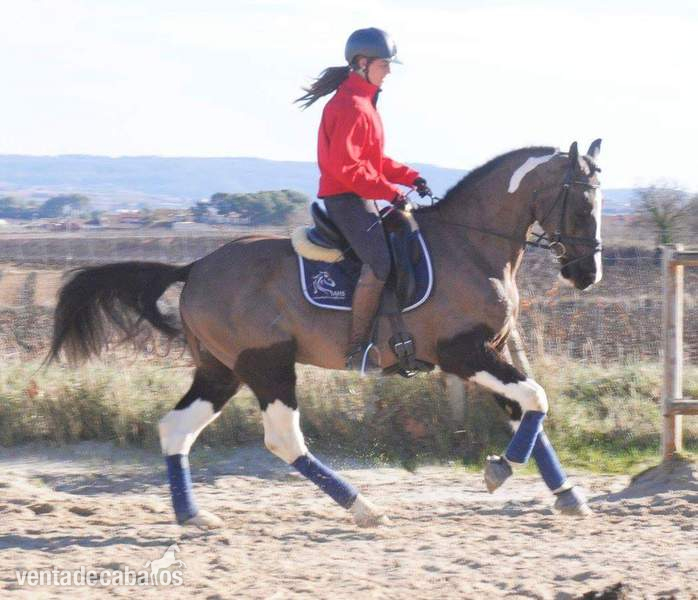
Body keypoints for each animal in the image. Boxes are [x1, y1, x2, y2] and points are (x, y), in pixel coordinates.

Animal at [48, 140, 603, 529]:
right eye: (581, 205)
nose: (586, 274)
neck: (470, 245)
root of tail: (196, 266)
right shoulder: (463, 354)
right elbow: (535, 399)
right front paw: (500, 470)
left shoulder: (489, 350)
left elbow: (526, 411)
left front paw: (567, 494)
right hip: (268, 366)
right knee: (283, 439)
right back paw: (363, 507)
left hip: (221, 371)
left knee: (175, 429)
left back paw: (193, 515)